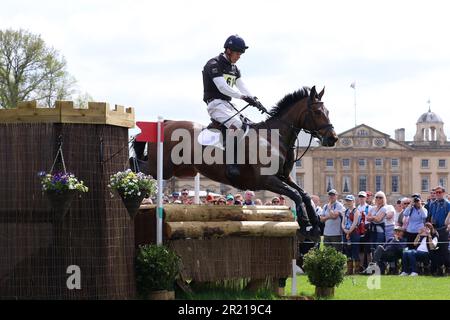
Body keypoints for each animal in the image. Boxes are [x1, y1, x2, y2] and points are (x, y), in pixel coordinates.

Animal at [134, 86, 338, 236]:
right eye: (318, 112)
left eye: (328, 111)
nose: (333, 138)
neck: (274, 137)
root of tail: (166, 123)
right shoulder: (267, 180)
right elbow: (296, 195)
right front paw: (304, 223)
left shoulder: (284, 177)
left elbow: (304, 194)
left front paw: (315, 224)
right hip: (163, 167)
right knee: (137, 166)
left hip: (177, 169)